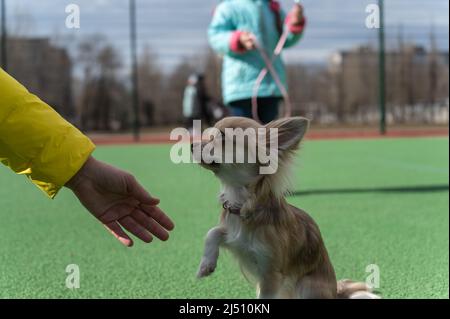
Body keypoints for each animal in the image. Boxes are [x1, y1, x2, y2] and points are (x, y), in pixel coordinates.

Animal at [192, 117, 378, 300]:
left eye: (223, 137)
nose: (192, 145)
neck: (244, 205)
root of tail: (335, 292)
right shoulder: (235, 239)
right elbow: (213, 232)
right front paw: (206, 264)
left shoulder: (271, 274)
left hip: (307, 285)